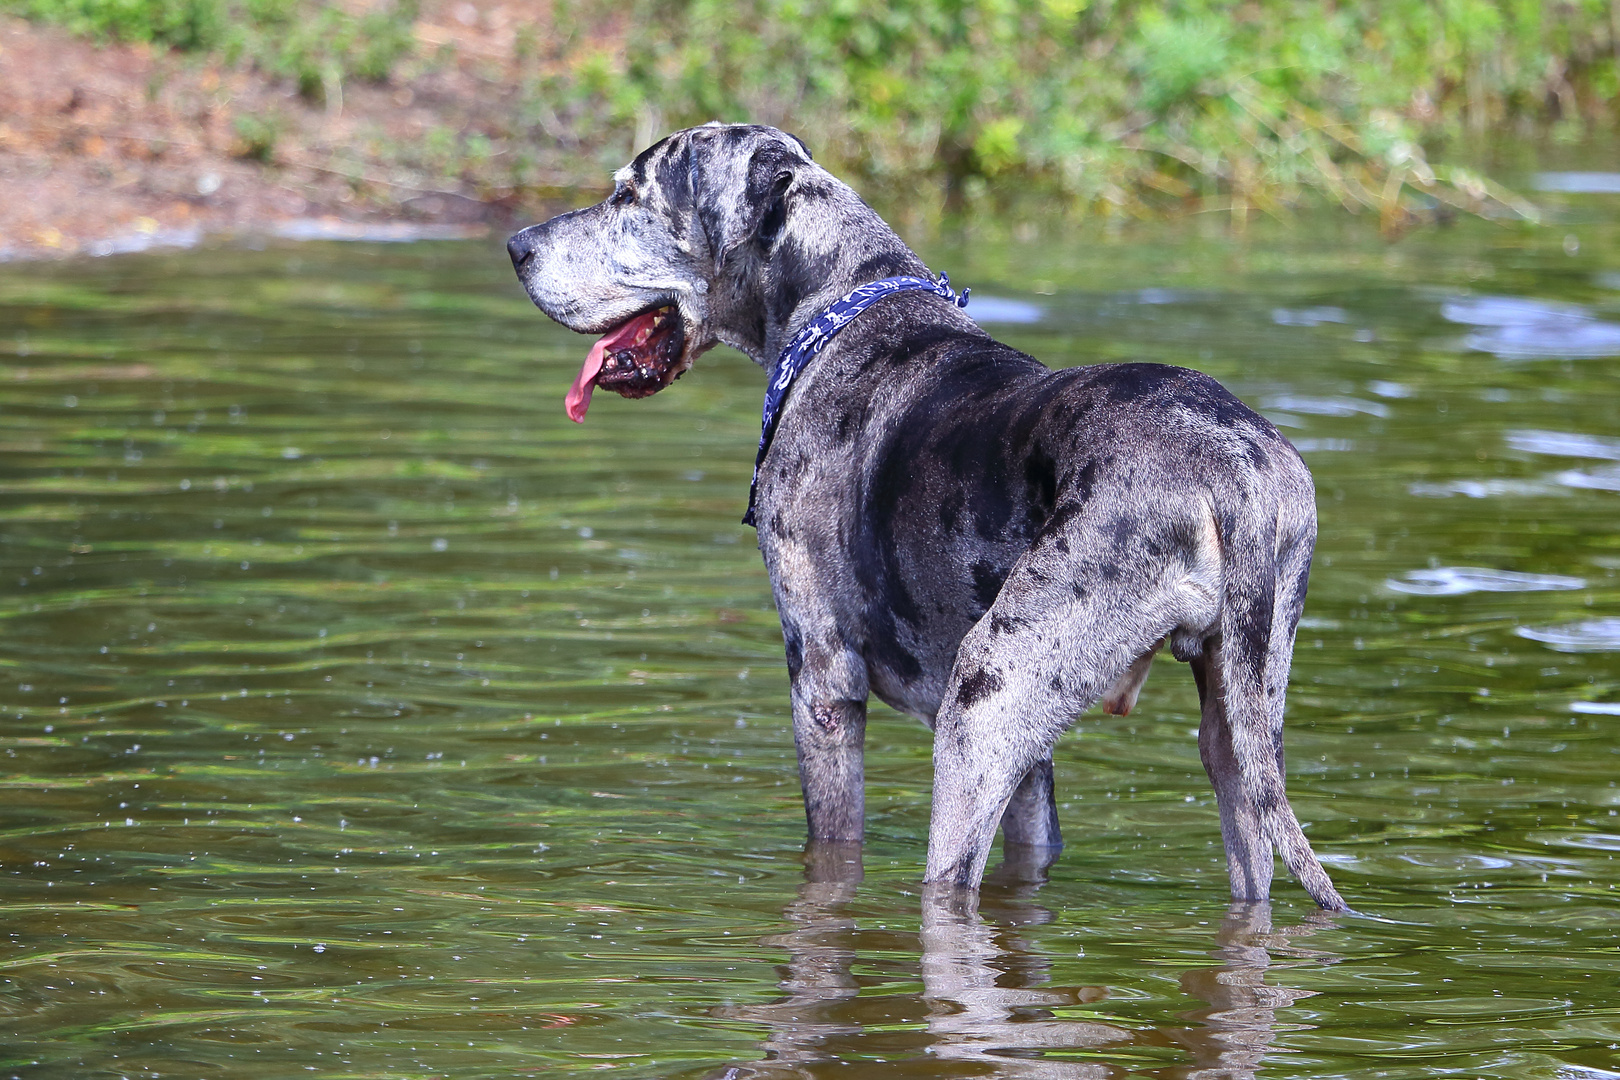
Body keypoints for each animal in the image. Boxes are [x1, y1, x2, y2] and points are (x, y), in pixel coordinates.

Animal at [511, 122, 1347, 906]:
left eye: (629, 195)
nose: (516, 245)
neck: (839, 310)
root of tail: (1230, 470)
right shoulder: (1031, 760)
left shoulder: (822, 681)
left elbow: (834, 840)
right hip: (1237, 728)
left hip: (984, 702)